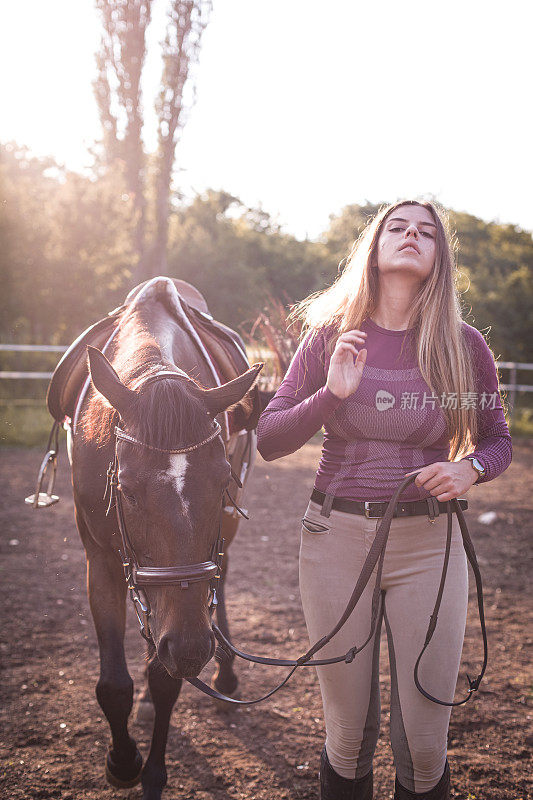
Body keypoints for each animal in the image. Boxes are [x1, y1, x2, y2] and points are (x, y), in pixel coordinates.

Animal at [71, 290, 262, 796]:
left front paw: (152, 774)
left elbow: (166, 678)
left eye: (222, 482)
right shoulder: (99, 558)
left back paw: (226, 676)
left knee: (221, 579)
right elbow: (114, 684)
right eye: (127, 489)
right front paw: (122, 761)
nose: (195, 647)